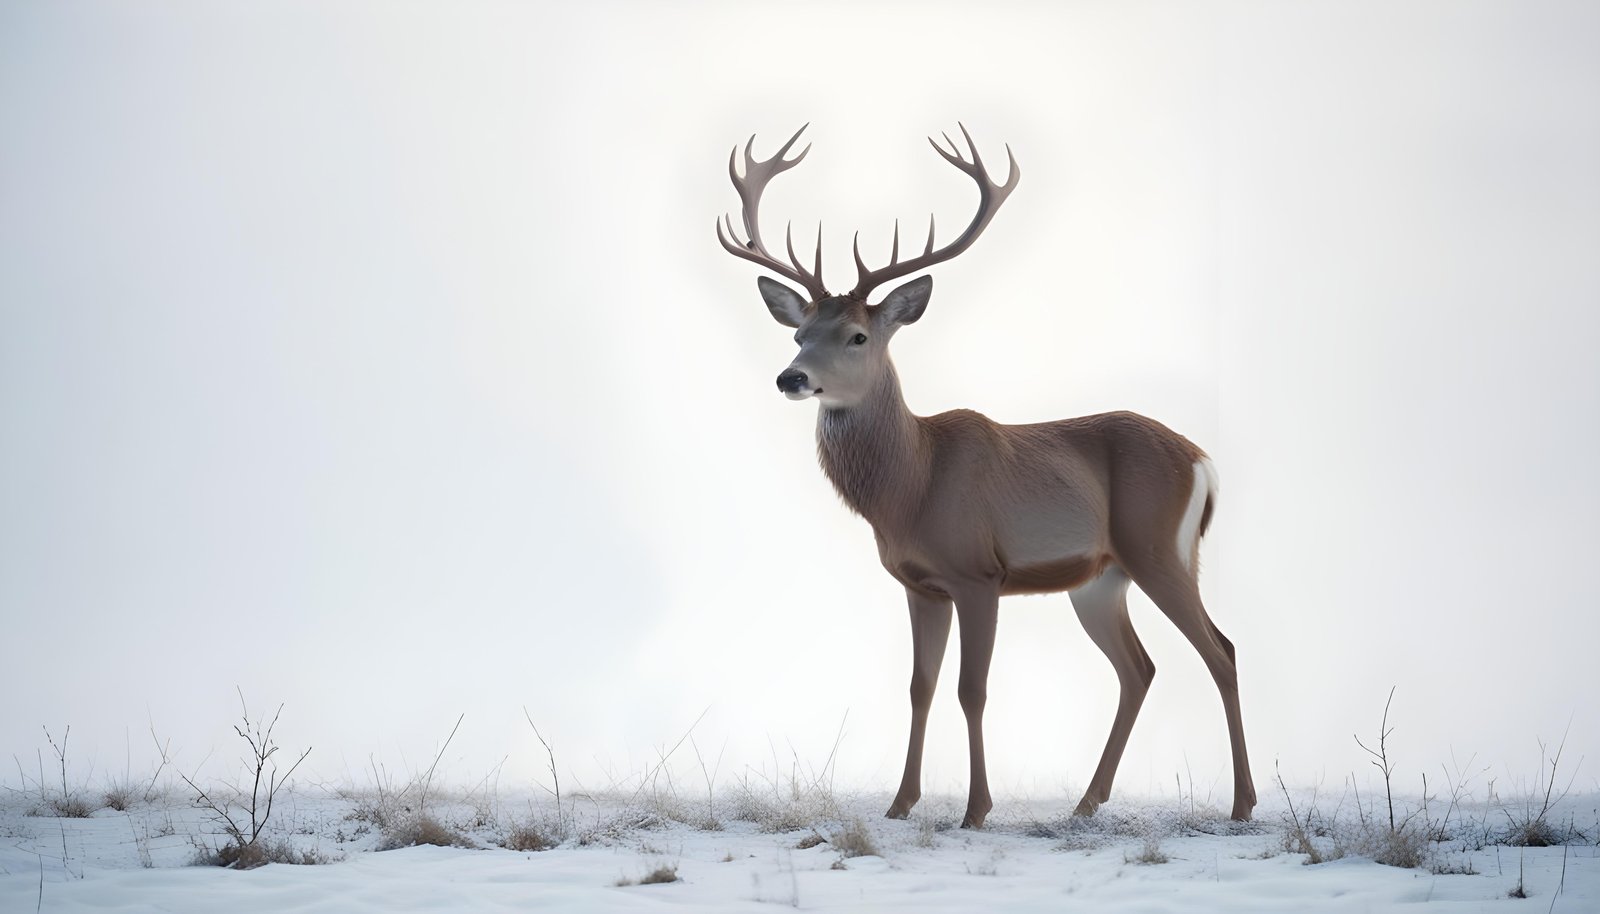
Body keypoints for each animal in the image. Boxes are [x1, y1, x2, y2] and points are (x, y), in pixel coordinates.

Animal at [716, 124, 1256, 828]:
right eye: (800, 332)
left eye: (858, 335)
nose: (791, 377)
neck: (910, 487)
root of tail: (1202, 461)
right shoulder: (920, 584)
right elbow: (919, 687)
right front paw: (900, 803)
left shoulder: (979, 573)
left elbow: (971, 688)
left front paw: (976, 809)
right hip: (1100, 579)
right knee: (1139, 668)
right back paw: (1087, 802)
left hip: (1158, 546)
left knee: (1221, 651)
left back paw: (1243, 805)